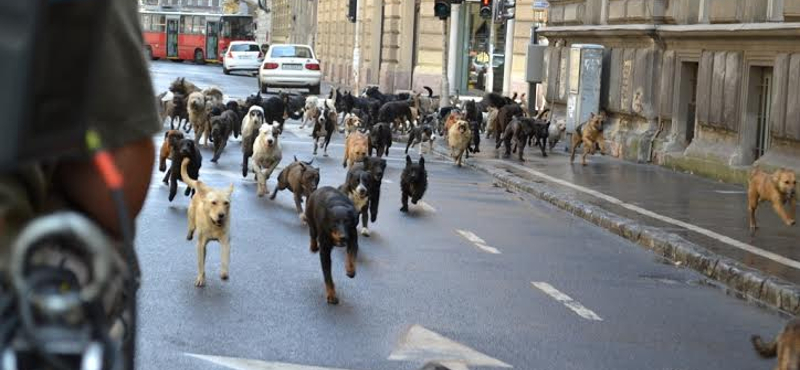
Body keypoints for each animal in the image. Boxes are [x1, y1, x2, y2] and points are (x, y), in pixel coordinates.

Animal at [180, 158, 233, 288]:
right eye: (213, 202)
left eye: (226, 203)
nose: (221, 215)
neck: (213, 224)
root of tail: (205, 188)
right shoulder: (201, 245)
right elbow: (201, 264)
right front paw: (201, 278)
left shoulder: (225, 242)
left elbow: (225, 258)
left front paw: (224, 272)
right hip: (192, 220)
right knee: (191, 227)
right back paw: (189, 234)